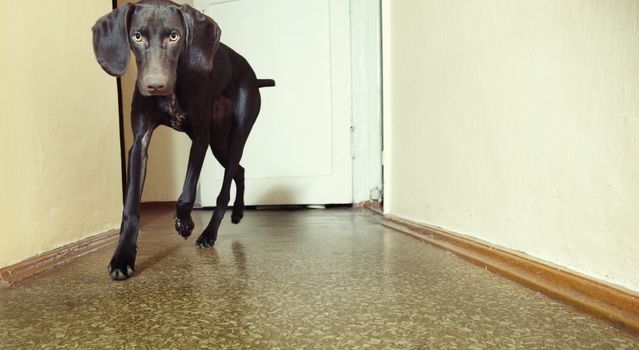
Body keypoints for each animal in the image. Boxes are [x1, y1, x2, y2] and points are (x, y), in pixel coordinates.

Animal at [92, 0, 272, 278]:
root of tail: (251, 73)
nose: (155, 85)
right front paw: (123, 255)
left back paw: (209, 233)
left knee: (225, 187)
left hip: (235, 137)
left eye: (174, 36)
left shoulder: (200, 138)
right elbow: (131, 206)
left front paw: (185, 223)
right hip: (219, 143)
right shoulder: (139, 143)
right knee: (240, 171)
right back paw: (238, 213)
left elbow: (187, 191)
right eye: (137, 36)